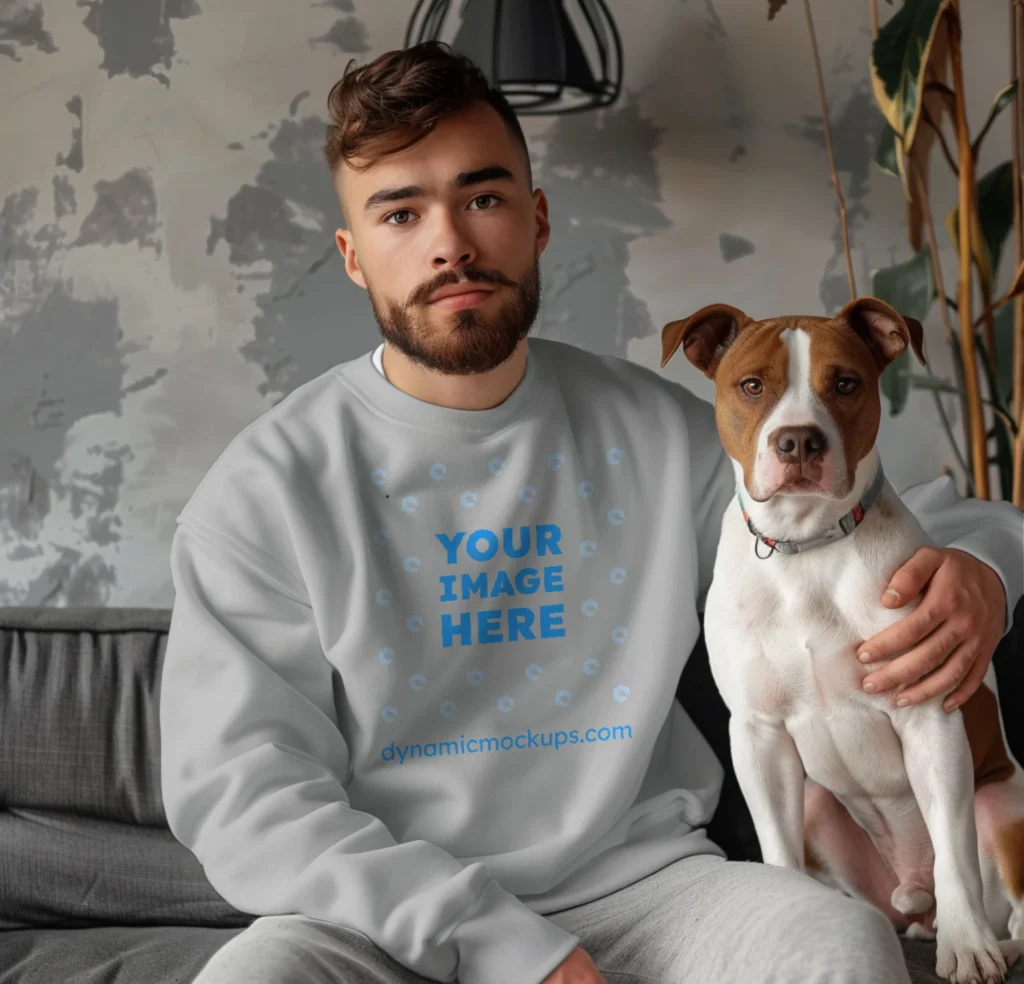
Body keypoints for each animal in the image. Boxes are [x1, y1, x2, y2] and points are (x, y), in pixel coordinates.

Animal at [659, 296, 1019, 982]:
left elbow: (954, 850)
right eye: (752, 386)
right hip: (819, 805)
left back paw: (988, 938)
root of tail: (914, 901)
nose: (798, 439)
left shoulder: (929, 717)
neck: (806, 547)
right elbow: (776, 850)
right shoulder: (758, 736)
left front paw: (969, 948)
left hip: (1003, 805)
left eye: (846, 384)